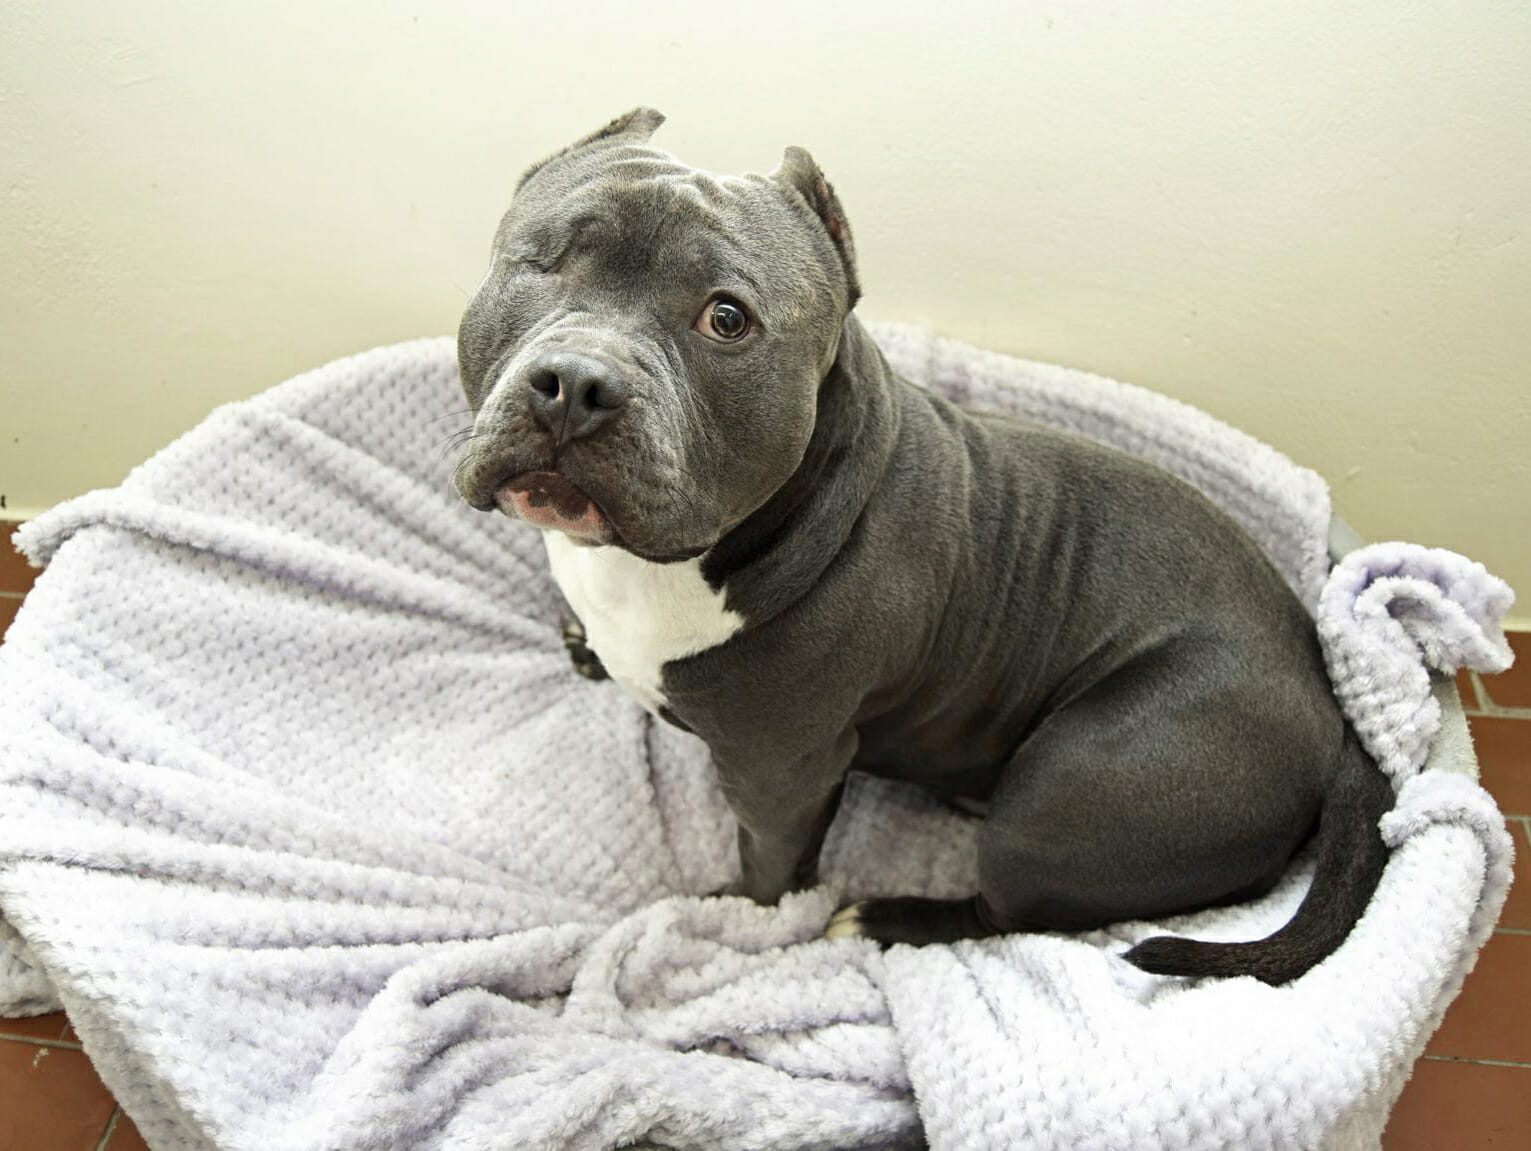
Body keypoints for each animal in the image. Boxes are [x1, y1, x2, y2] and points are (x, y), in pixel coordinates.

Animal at [447, 112, 1396, 985]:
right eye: (543, 261)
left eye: (725, 318)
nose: (577, 383)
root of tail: (1327, 700)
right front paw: (587, 643)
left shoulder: (782, 772)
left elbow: (768, 870)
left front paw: (732, 918)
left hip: (1076, 788)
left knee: (1010, 913)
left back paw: (887, 918)